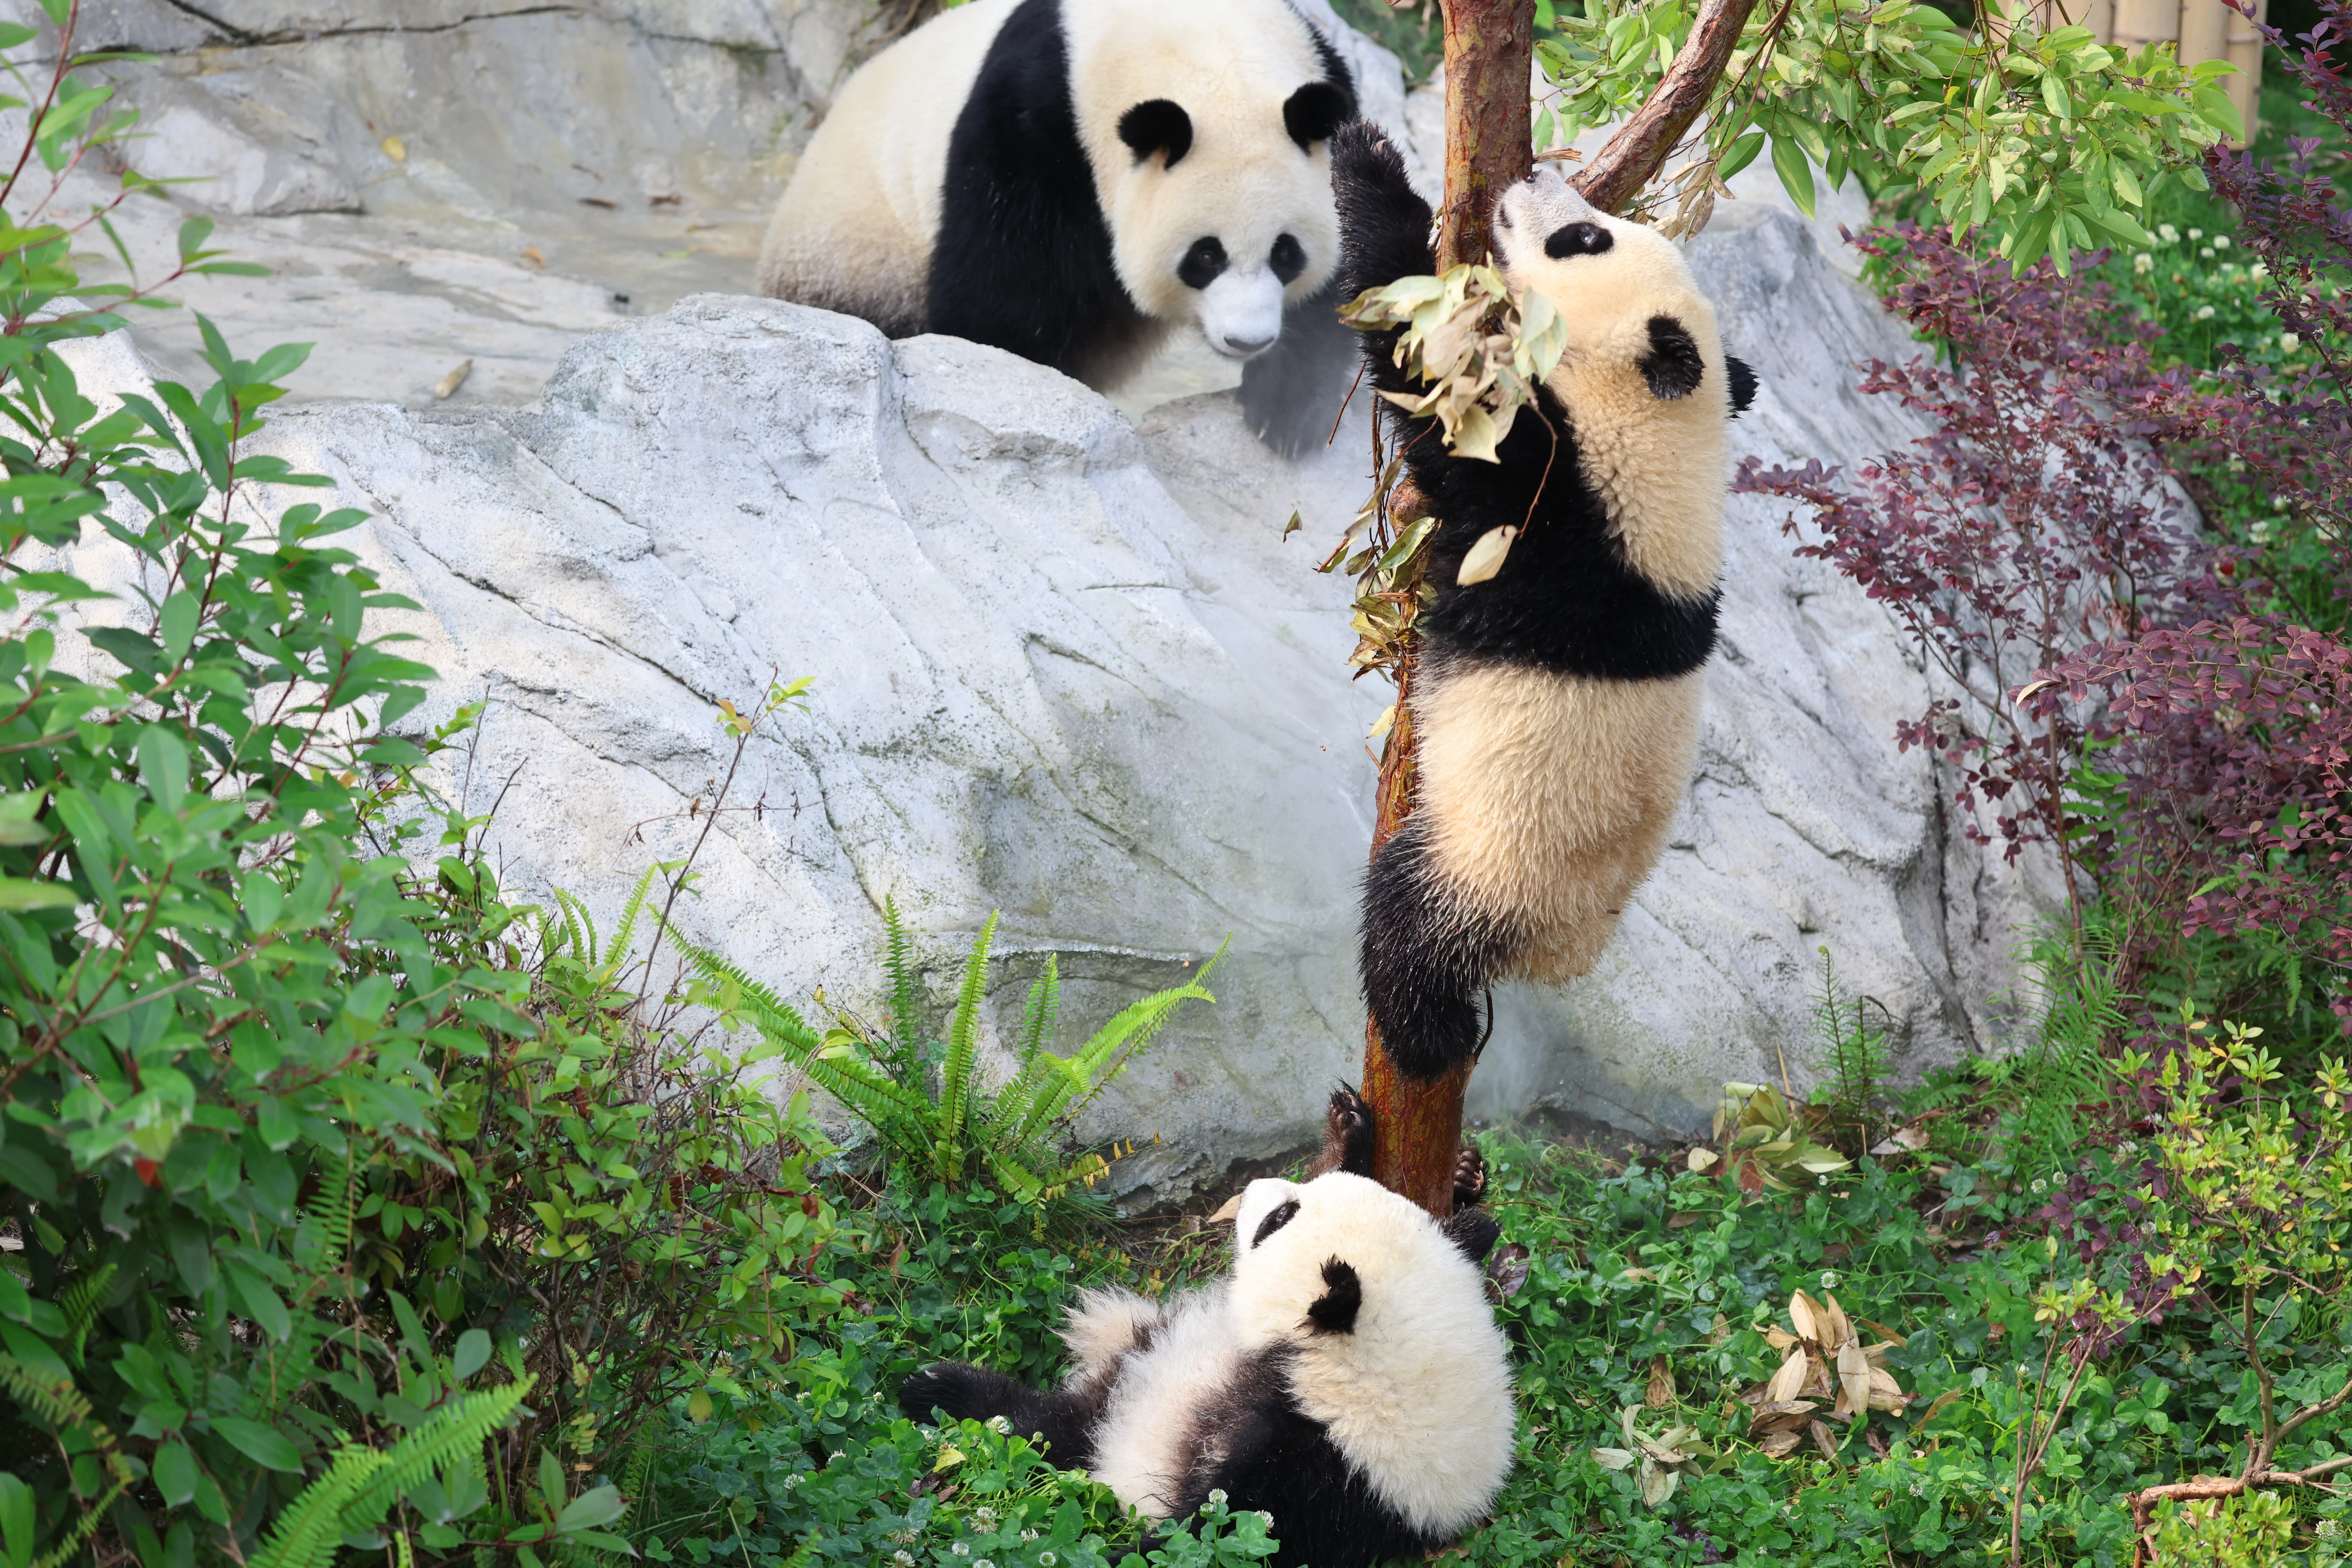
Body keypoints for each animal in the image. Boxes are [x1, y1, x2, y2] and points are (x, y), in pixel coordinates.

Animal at [756, 0, 1362, 456]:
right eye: (1206, 257)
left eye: (1286, 254)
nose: (1247, 341)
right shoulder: (1034, 127)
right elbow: (1004, 291)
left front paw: (1287, 408)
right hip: (861, 255)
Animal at [899, 1089, 1515, 1568]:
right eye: (1296, 1200)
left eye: (1279, 1220)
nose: (1255, 1186)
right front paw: (1368, 1141)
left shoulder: (1321, 1483)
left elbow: (1210, 1537)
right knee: (1043, 1421)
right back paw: (935, 1387)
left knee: (1052, 1433)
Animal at [1332, 122, 1759, 1082]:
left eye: (1584, 238)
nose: (1529, 179)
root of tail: (1559, 956)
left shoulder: (1562, 503)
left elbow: (1436, 377)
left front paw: (1368, 164)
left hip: (1494, 859)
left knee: (1414, 925)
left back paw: (1421, 1040)